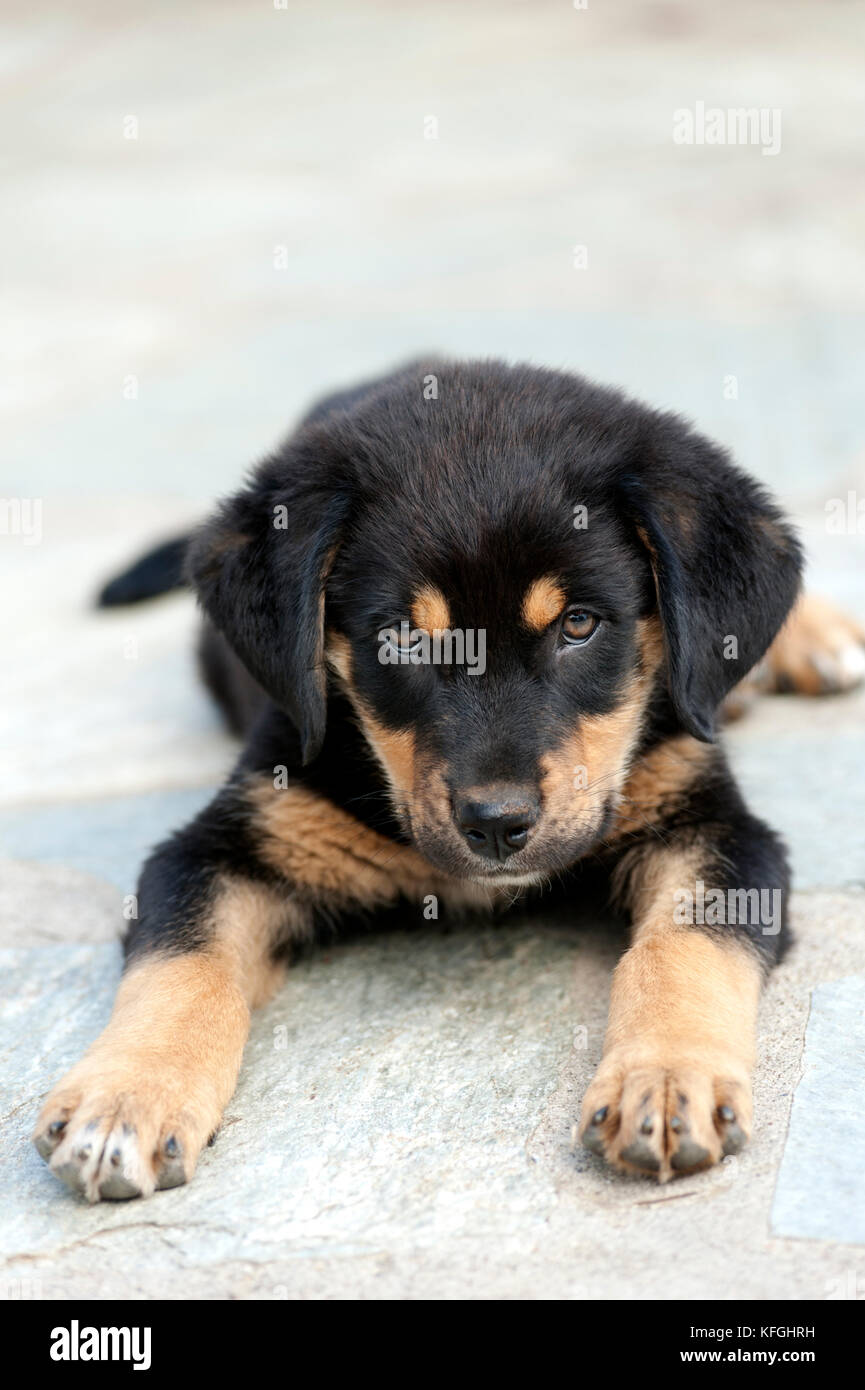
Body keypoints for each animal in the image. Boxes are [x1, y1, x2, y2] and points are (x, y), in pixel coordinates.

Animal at [32, 364, 865, 1200]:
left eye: (578, 625)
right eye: (401, 637)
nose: (496, 823)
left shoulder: (716, 827)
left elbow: (681, 950)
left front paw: (663, 1082)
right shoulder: (222, 842)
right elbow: (184, 964)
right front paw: (125, 1097)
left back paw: (809, 638)